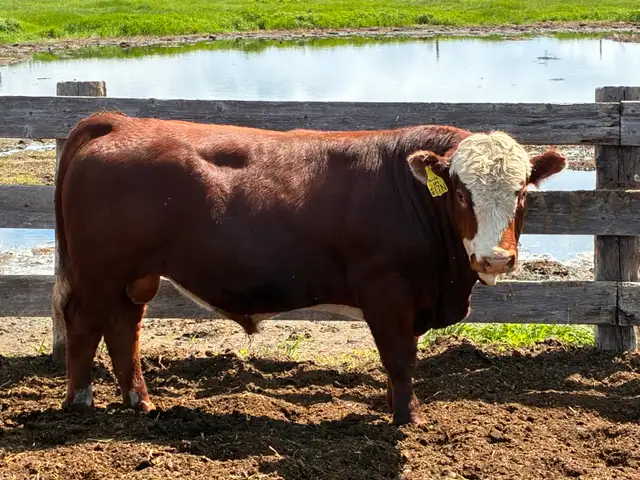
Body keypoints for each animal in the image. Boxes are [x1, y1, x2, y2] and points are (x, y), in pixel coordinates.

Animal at [52, 112, 566, 425]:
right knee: (84, 323)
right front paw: (407, 417)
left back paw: (140, 401)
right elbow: (399, 358)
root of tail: (122, 122)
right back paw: (79, 401)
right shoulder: (386, 292)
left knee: (124, 328)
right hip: (99, 271)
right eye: (461, 193)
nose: (495, 257)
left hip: (134, 277)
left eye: (522, 191)